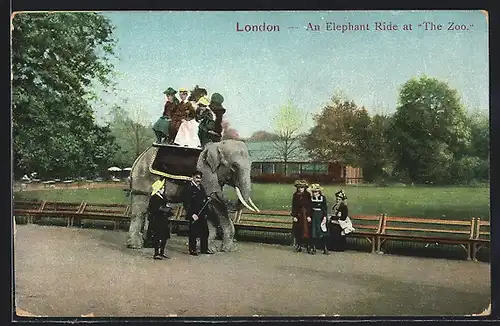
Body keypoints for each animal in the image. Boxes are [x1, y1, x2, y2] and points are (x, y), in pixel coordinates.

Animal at [127, 140, 260, 252]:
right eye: (234, 167)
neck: (216, 145)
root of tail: (138, 158)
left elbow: (212, 206)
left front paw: (217, 249)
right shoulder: (206, 174)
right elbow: (215, 204)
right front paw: (219, 249)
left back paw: (148, 243)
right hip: (143, 178)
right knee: (140, 208)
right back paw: (136, 246)